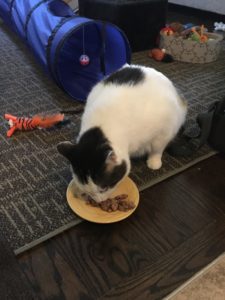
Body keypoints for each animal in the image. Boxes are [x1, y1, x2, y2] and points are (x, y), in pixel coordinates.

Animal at [57, 64, 187, 203]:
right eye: (87, 190)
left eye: (104, 188)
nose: (98, 201)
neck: (102, 126)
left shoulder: (164, 131)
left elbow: (157, 149)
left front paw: (154, 162)